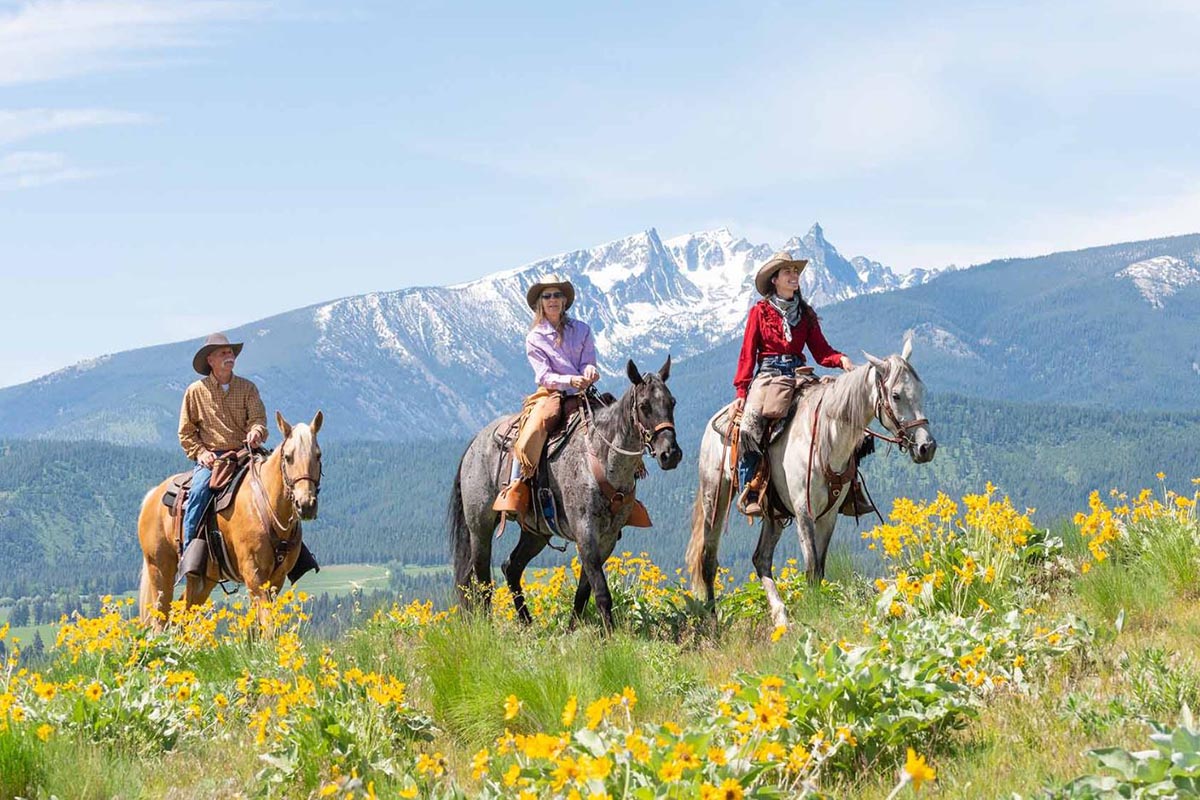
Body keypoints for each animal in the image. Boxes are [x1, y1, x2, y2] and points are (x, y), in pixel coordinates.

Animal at [138, 410, 324, 628]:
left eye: (318, 455)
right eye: (288, 457)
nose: (306, 504)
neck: (266, 508)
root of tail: (152, 496)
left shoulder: (276, 579)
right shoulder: (254, 575)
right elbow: (267, 623)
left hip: (203, 578)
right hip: (160, 569)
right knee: (161, 619)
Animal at [451, 357, 681, 633]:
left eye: (672, 402)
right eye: (645, 405)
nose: (670, 454)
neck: (600, 458)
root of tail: (475, 443)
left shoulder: (607, 538)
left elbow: (585, 589)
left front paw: (573, 628)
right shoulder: (585, 531)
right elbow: (601, 591)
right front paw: (610, 636)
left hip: (536, 532)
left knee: (511, 567)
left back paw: (527, 622)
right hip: (480, 526)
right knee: (482, 576)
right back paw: (487, 625)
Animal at [686, 338, 936, 633]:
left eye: (920, 390)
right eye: (896, 395)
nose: (927, 447)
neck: (827, 440)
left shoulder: (828, 516)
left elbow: (820, 569)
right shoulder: (804, 511)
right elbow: (811, 567)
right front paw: (814, 614)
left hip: (774, 512)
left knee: (761, 558)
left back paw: (781, 616)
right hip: (715, 495)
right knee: (708, 559)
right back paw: (713, 619)